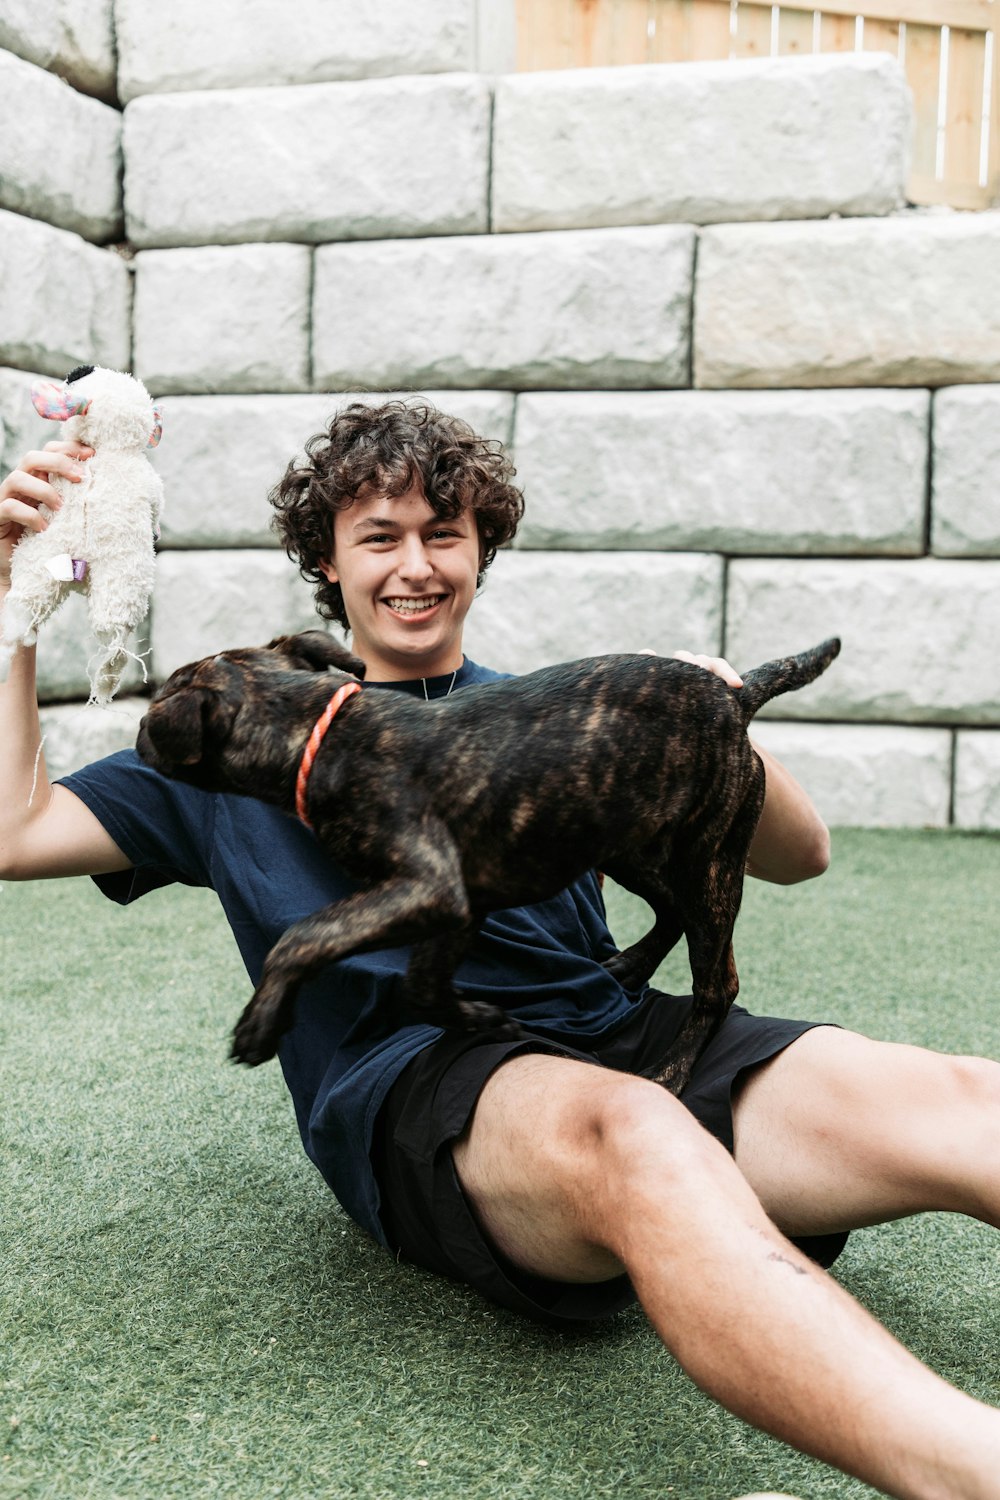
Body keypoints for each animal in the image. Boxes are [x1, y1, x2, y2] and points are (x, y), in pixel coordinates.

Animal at [132, 630, 839, 1092]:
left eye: (156, 708)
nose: (137, 733)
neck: (317, 733)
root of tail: (734, 699)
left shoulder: (429, 887)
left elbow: (304, 936)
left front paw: (261, 1020)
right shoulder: (458, 906)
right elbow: (421, 984)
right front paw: (479, 1018)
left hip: (708, 859)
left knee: (716, 981)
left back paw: (669, 1071)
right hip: (615, 839)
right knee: (668, 911)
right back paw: (629, 965)